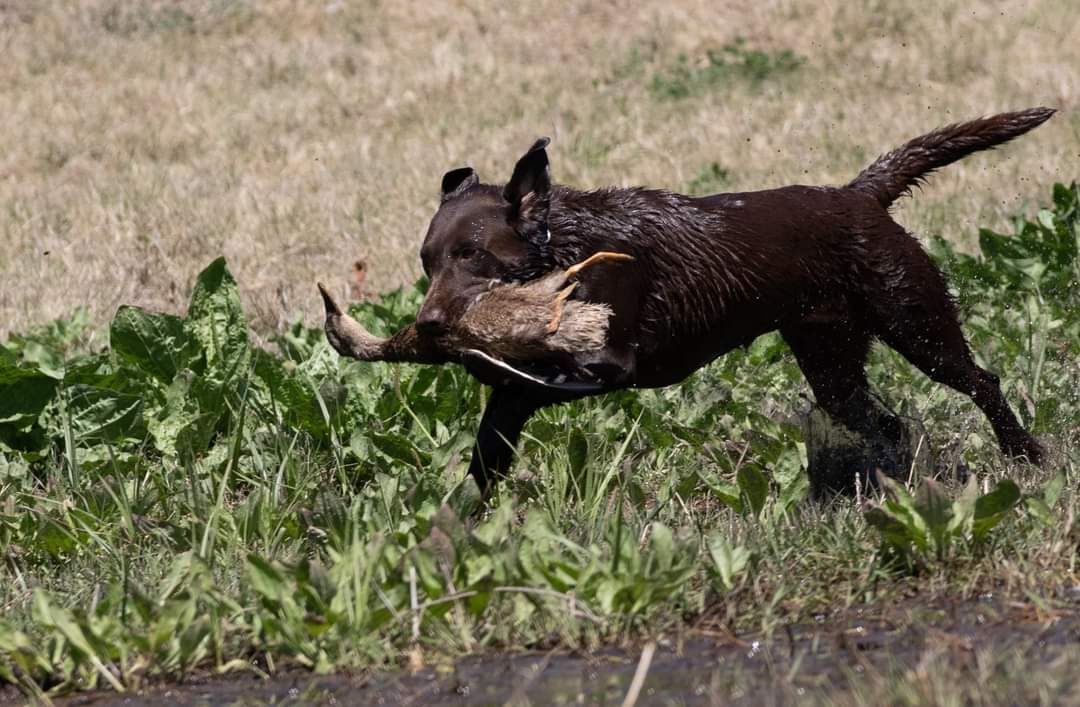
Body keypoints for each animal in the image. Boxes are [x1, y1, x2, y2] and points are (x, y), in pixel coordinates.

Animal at [328, 107, 1054, 500]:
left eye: (473, 256)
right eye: (427, 261)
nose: (428, 327)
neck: (567, 251)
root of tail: (857, 194)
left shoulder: (612, 363)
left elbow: (548, 373)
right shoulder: (513, 403)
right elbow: (487, 452)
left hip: (914, 319)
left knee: (981, 380)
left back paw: (1025, 454)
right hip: (831, 359)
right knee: (886, 423)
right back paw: (886, 484)